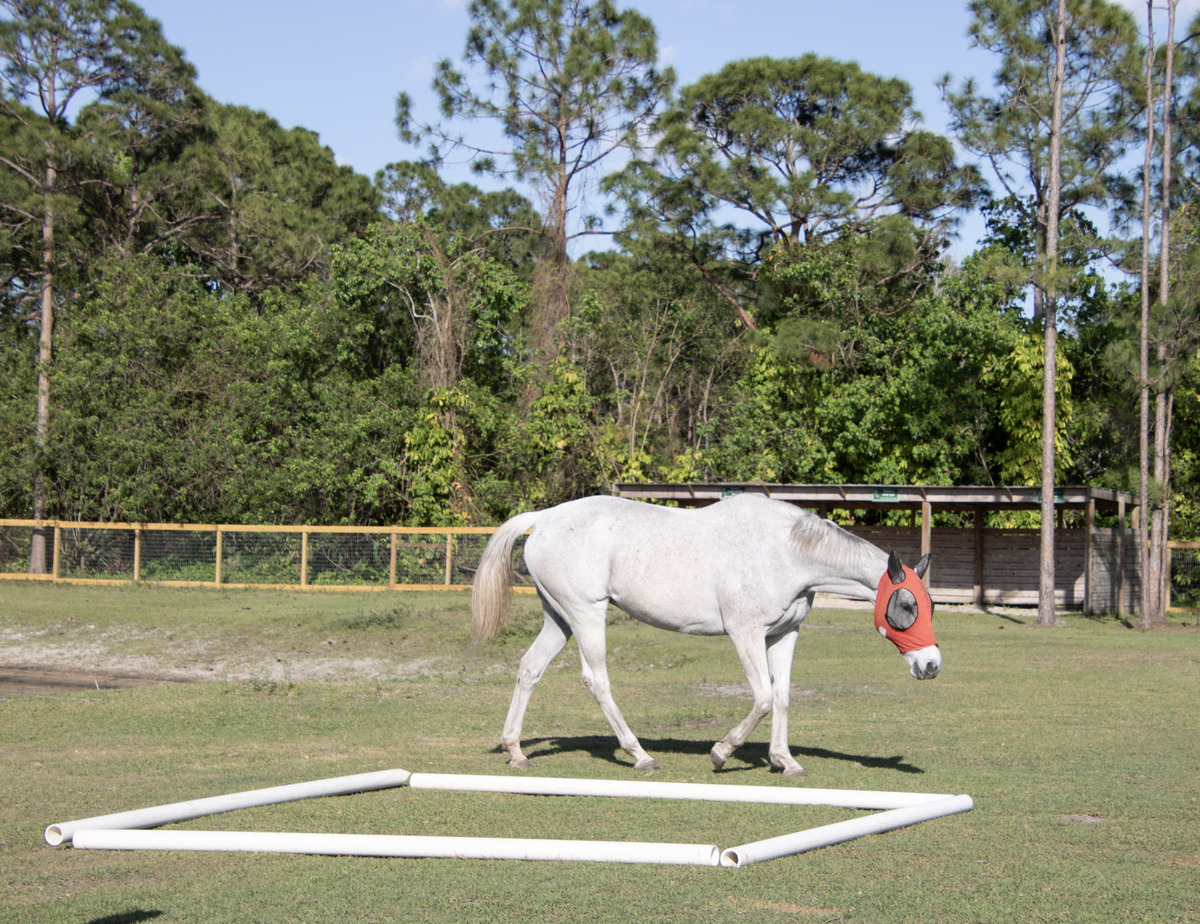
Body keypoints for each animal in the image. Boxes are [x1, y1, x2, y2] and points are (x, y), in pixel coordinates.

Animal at [470, 493, 941, 777]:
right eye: (907, 606)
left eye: (929, 605)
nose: (931, 664)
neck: (786, 552)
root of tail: (545, 518)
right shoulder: (745, 633)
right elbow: (763, 698)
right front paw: (722, 752)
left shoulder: (784, 635)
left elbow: (782, 697)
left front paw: (784, 761)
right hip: (587, 614)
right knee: (596, 680)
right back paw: (640, 755)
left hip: (559, 617)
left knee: (529, 669)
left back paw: (515, 750)